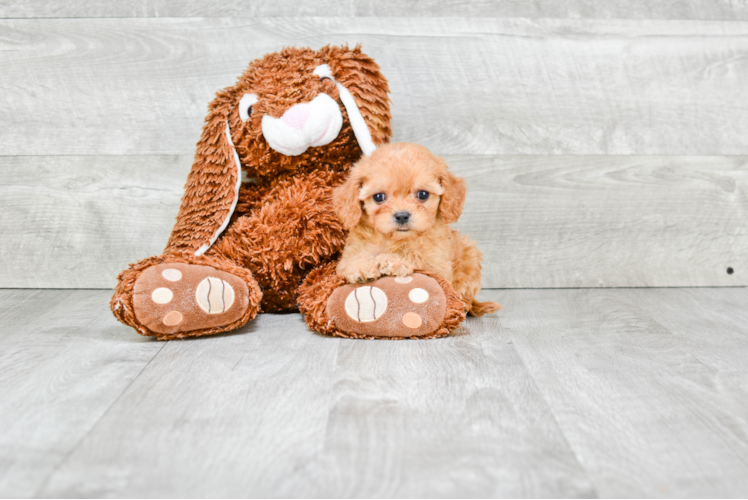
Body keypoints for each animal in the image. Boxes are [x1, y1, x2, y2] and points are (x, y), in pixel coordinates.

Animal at [334, 142, 502, 316]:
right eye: (378, 197)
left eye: (423, 194)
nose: (402, 216)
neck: (395, 239)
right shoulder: (350, 254)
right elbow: (351, 260)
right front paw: (362, 267)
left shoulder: (437, 266)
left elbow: (412, 256)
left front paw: (390, 261)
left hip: (470, 255)